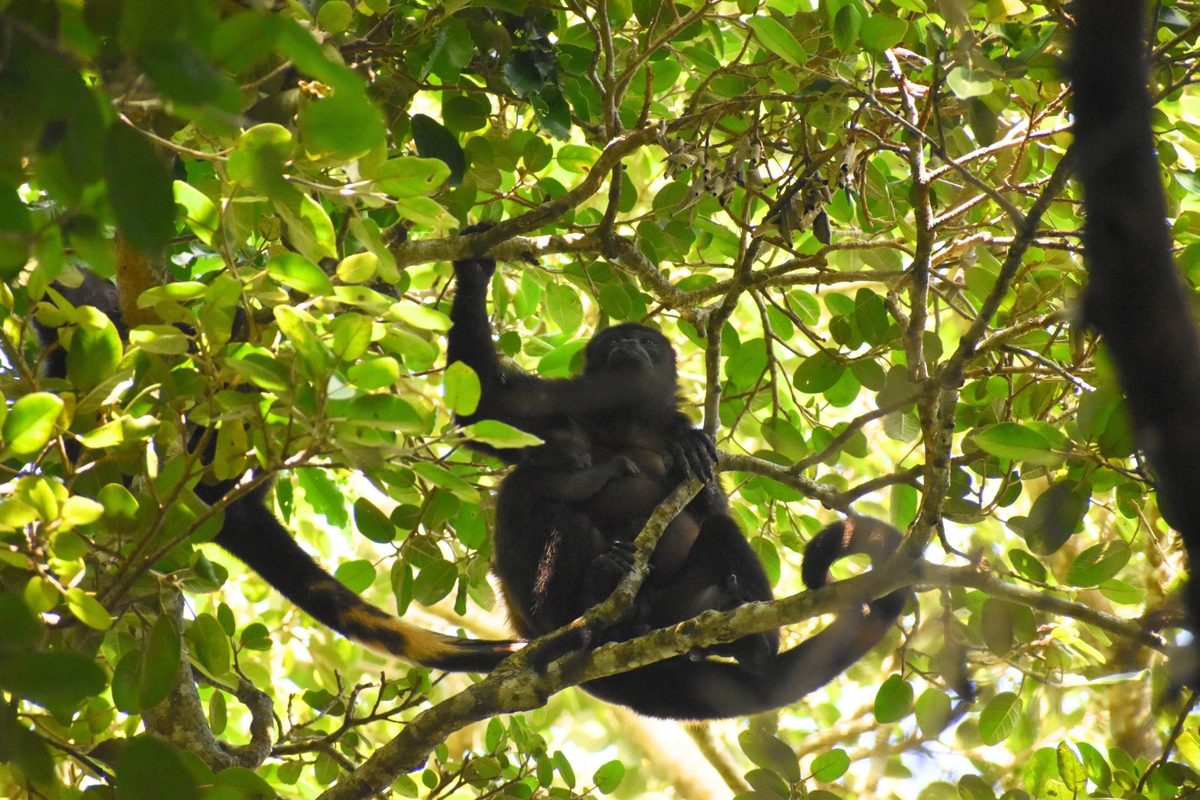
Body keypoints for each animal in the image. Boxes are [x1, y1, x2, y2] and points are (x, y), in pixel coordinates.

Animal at [447, 230, 913, 719]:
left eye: (645, 343)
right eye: (614, 342)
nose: (628, 346)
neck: (626, 421)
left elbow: (709, 501)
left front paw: (685, 446)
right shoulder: (558, 405)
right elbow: (484, 410)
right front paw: (474, 272)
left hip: (678, 609)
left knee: (721, 534)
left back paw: (752, 647)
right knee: (533, 497)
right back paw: (591, 608)